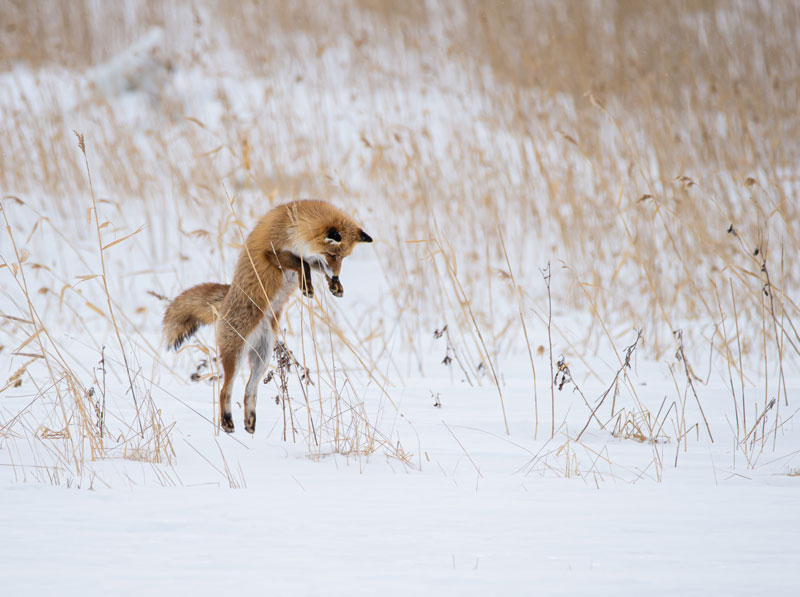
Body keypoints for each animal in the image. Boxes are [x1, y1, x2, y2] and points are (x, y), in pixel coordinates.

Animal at [162, 199, 372, 434]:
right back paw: (227, 422)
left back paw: (250, 423)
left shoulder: (309, 256)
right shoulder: (271, 251)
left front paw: (334, 285)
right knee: (225, 389)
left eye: (343, 257)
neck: (294, 225)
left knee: (249, 389)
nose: (336, 275)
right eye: (333, 255)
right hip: (236, 354)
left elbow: (313, 266)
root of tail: (224, 300)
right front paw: (308, 287)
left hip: (262, 357)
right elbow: (303, 264)